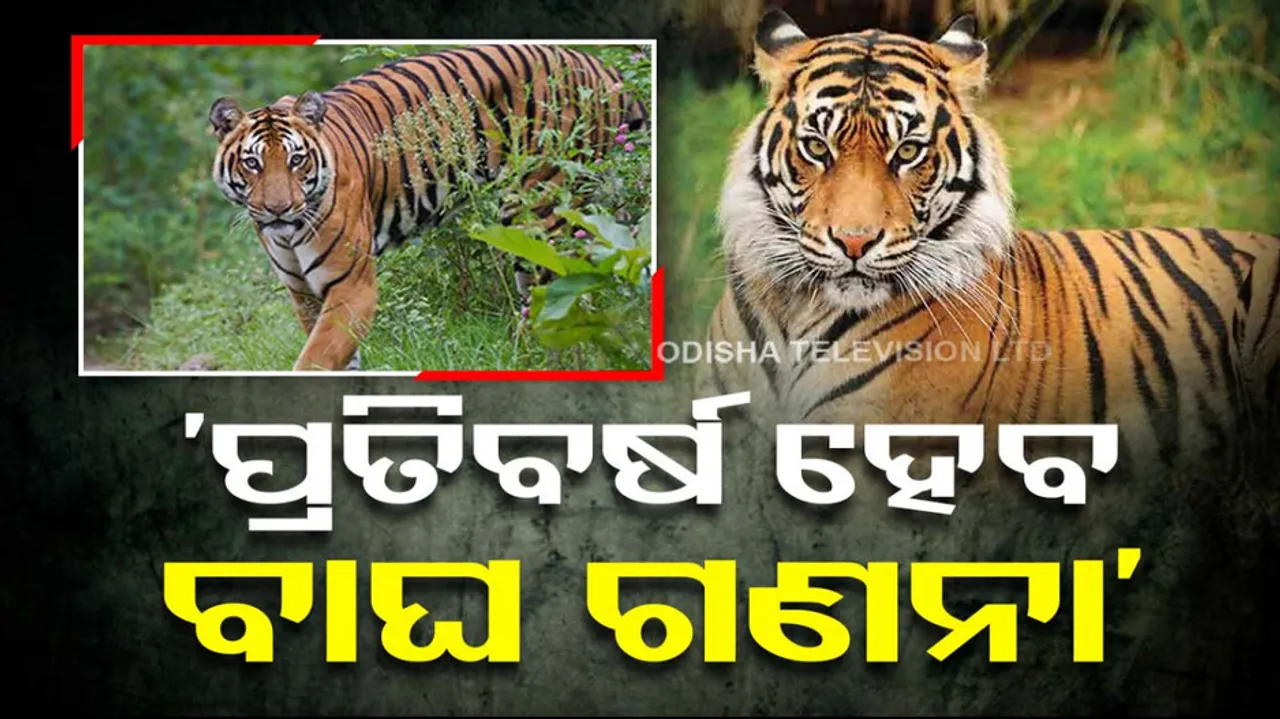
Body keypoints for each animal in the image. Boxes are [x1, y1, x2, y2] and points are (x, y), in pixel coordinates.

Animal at [208, 44, 648, 371]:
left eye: (296, 160)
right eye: (253, 163)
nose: (278, 209)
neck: (290, 234)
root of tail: (601, 66)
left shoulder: (352, 287)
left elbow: (313, 361)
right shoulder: (305, 295)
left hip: (542, 209)